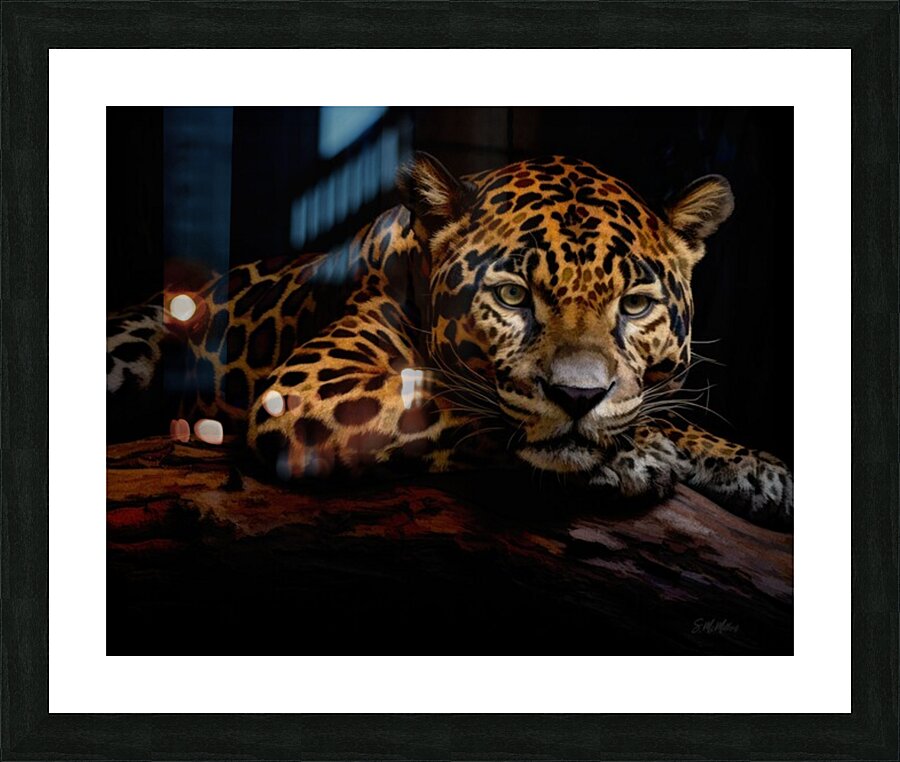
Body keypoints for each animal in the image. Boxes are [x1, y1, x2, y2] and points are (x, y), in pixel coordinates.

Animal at [107, 153, 793, 528]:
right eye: (513, 296)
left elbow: (655, 410)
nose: (578, 398)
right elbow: (462, 401)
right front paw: (628, 455)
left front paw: (749, 465)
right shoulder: (310, 387)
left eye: (635, 304)